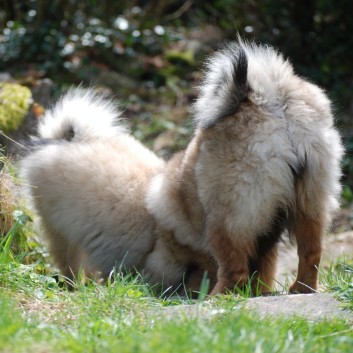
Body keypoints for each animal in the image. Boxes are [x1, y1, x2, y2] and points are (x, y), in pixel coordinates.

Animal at [20, 39, 342, 294]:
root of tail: (269, 98)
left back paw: (219, 297)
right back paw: (300, 289)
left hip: (227, 219)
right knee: (311, 254)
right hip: (311, 202)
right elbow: (263, 268)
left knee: (234, 270)